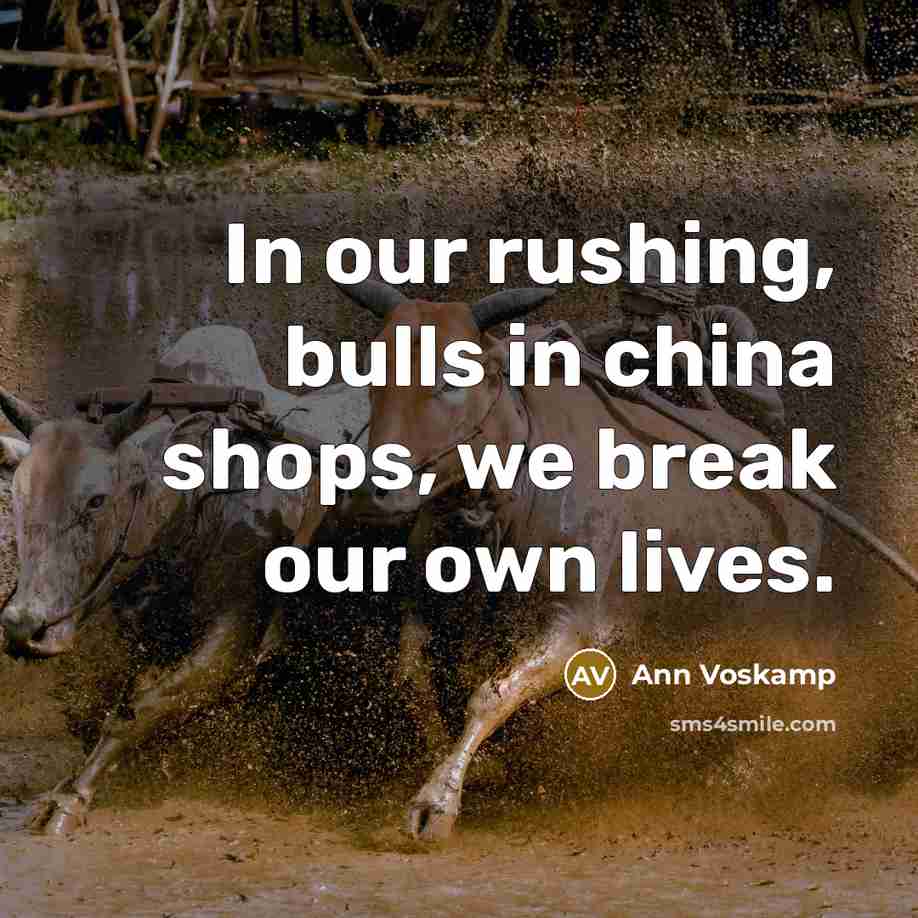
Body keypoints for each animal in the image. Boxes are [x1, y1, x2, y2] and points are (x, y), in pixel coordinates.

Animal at [336, 279, 825, 842]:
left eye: (452, 378)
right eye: (371, 370)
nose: (375, 490)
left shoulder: (578, 625)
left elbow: (492, 693)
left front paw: (435, 804)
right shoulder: (425, 599)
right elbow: (411, 671)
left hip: (772, 627)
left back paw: (745, 769)